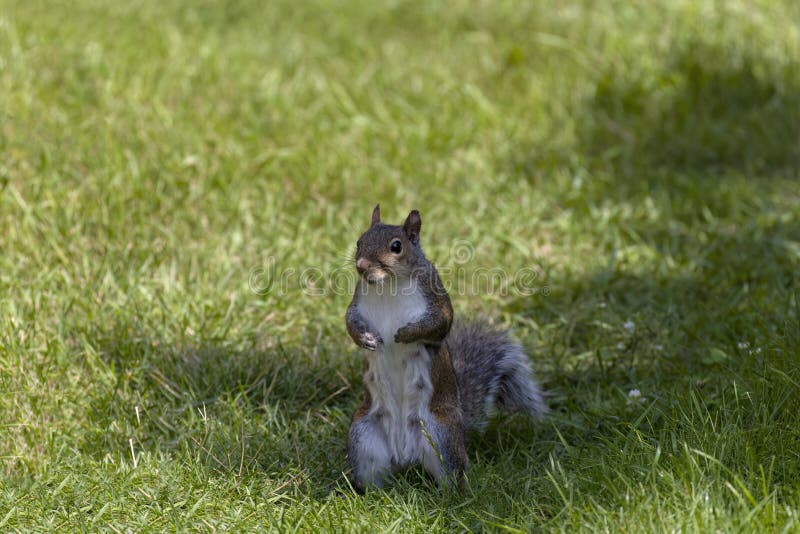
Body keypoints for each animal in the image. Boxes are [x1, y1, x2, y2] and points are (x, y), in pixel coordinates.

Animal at [345, 204, 547, 490]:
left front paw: (406, 333)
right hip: (363, 436)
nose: (361, 267)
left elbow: (440, 323)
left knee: (452, 475)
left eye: (396, 246)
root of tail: (404, 456)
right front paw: (366, 339)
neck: (389, 285)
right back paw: (369, 494)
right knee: (372, 475)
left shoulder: (436, 299)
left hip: (441, 435)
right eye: (359, 241)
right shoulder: (358, 302)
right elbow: (350, 321)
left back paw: (450, 495)